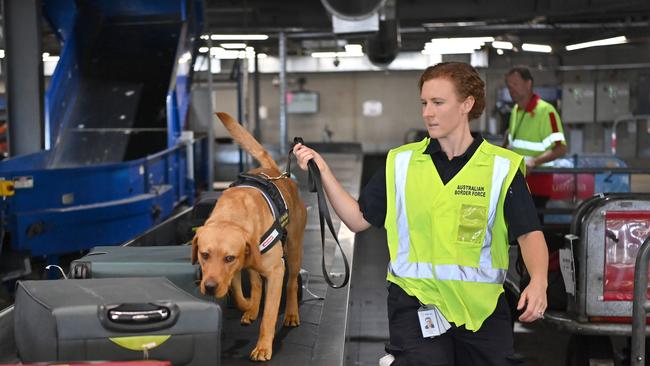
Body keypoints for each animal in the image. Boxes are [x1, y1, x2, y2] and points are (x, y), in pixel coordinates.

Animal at [190, 113, 306, 362]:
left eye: (229, 258)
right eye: (204, 255)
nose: (210, 287)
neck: (232, 217)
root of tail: (275, 171)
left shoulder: (275, 271)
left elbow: (269, 314)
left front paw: (263, 347)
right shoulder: (239, 267)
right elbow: (240, 292)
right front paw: (248, 306)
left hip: (293, 251)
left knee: (292, 283)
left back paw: (291, 314)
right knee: (255, 283)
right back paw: (252, 309)